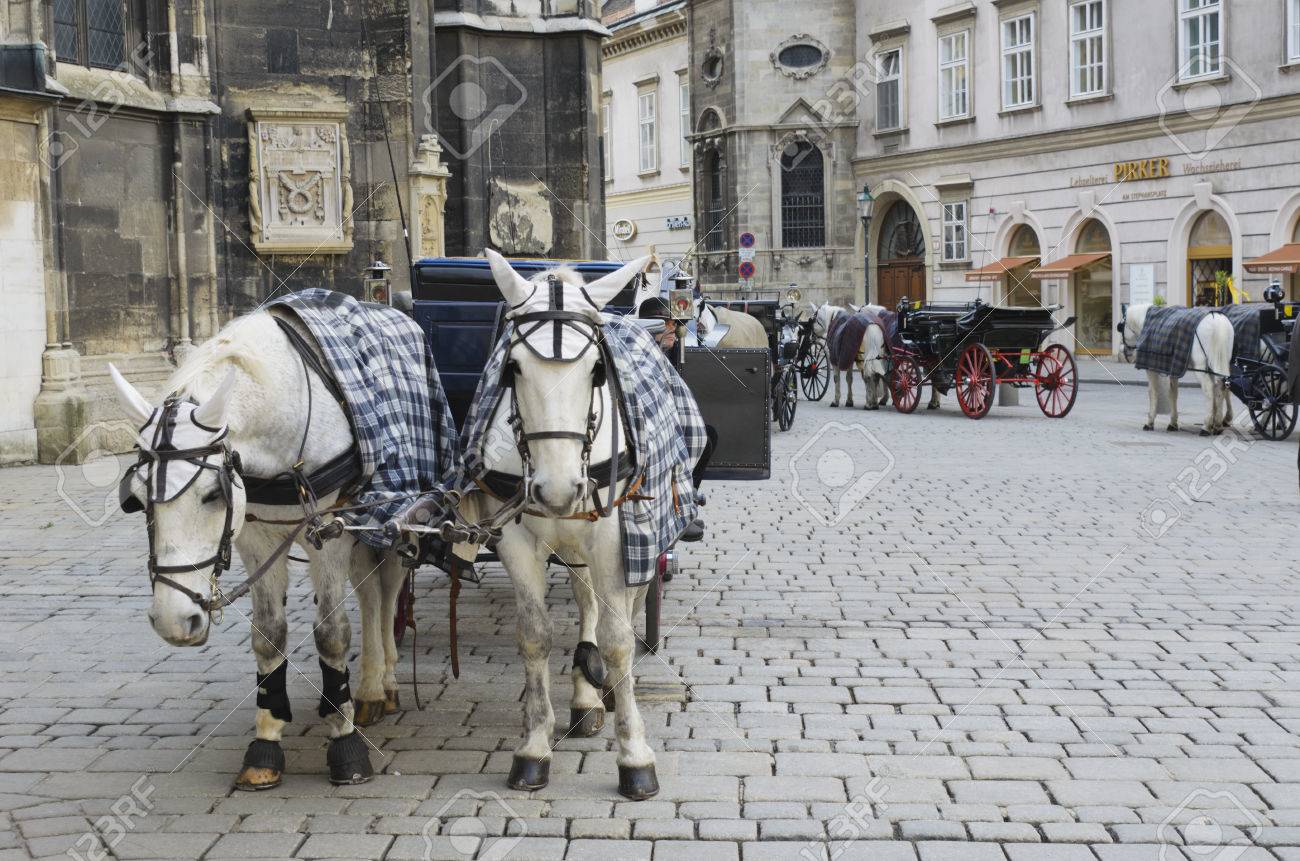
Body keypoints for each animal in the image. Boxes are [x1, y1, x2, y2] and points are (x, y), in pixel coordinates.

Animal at [111, 313, 405, 790]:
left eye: (213, 494)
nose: (174, 622)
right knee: (370, 592)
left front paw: (344, 741)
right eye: (136, 498)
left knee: (388, 588)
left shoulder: (331, 531)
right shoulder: (255, 537)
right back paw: (372, 686)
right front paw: (266, 741)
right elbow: (268, 634)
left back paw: (383, 681)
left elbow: (332, 633)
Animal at [475, 249, 681, 801]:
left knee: (623, 606)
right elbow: (534, 635)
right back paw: (585, 696)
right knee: (585, 594)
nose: (558, 488)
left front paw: (634, 755)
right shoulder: (515, 536)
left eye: (596, 370)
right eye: (513, 368)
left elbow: (617, 639)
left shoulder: (616, 537)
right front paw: (534, 745)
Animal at [1123, 305, 1232, 439]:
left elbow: (1153, 393)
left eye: (1121, 327)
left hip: (1201, 366)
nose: (1127, 354)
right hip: (1219, 363)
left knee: (1209, 389)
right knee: (1221, 387)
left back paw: (1206, 426)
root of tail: (1216, 319)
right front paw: (1173, 423)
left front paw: (1150, 421)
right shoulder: (1174, 368)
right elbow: (1173, 394)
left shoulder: (1151, 369)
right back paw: (1217, 425)